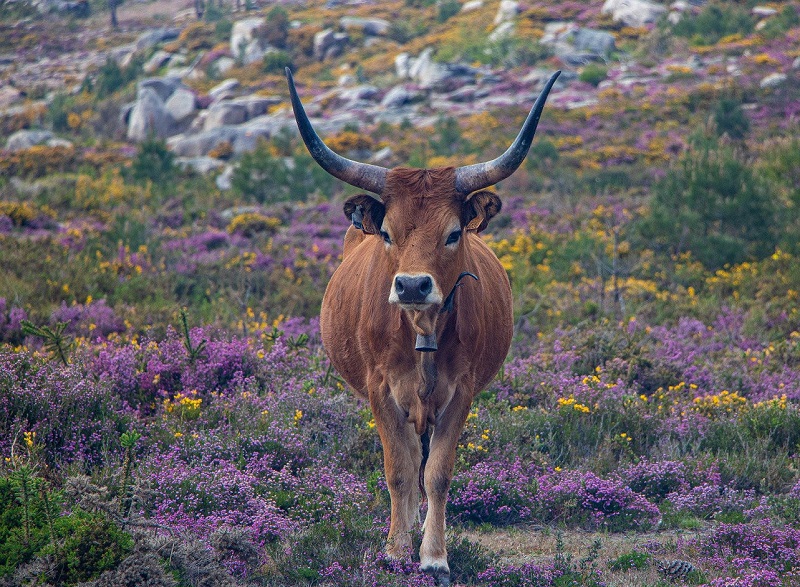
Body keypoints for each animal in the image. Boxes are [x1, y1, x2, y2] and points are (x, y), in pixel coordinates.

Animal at [284, 68, 560, 584]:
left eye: (452, 233)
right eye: (388, 232)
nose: (412, 284)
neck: (422, 330)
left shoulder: (461, 390)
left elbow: (438, 473)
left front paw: (433, 556)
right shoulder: (380, 389)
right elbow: (399, 469)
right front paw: (395, 551)